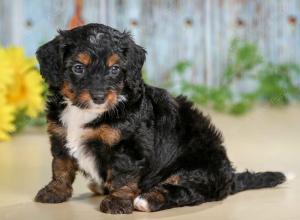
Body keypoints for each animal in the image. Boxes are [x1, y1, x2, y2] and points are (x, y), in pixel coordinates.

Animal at [34, 23, 286, 214]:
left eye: (115, 69)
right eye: (78, 68)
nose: (99, 97)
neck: (86, 112)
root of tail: (229, 175)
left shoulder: (128, 147)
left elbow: (123, 176)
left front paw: (117, 201)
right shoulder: (60, 136)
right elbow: (61, 166)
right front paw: (55, 192)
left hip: (196, 169)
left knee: (188, 191)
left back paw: (147, 200)